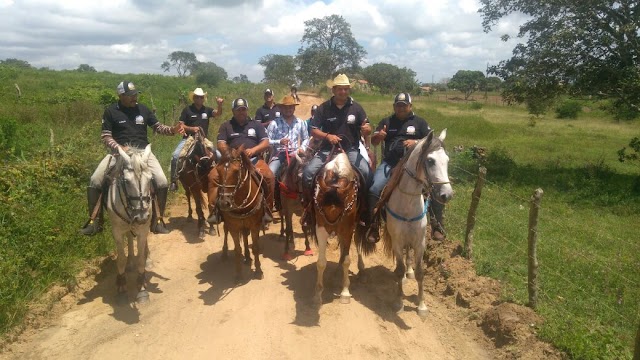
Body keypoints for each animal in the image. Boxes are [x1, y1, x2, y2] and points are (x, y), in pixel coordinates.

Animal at [107, 143, 154, 304]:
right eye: (126, 181)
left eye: (150, 179)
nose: (141, 217)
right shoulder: (116, 231)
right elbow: (120, 259)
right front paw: (121, 286)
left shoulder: (143, 229)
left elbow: (141, 258)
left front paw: (142, 288)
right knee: (128, 236)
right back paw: (130, 264)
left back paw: (147, 259)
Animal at [210, 146, 264, 282]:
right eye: (218, 171)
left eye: (235, 171)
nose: (224, 203)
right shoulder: (234, 226)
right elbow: (237, 250)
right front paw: (238, 274)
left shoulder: (255, 225)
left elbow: (256, 247)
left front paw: (258, 271)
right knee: (226, 231)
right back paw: (225, 254)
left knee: (244, 235)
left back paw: (248, 257)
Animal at [308, 150, 370, 306]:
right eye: (322, 209)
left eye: (342, 210)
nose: (332, 226)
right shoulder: (321, 227)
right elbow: (321, 263)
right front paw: (317, 295)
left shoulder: (347, 227)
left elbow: (347, 260)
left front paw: (345, 292)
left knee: (355, 243)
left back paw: (361, 271)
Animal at [376, 129, 456, 318]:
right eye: (430, 160)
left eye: (447, 160)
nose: (447, 194)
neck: (408, 203)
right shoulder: (397, 241)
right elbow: (398, 270)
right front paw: (398, 302)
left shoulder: (420, 242)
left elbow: (421, 272)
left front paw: (422, 306)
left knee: (408, 255)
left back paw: (409, 271)